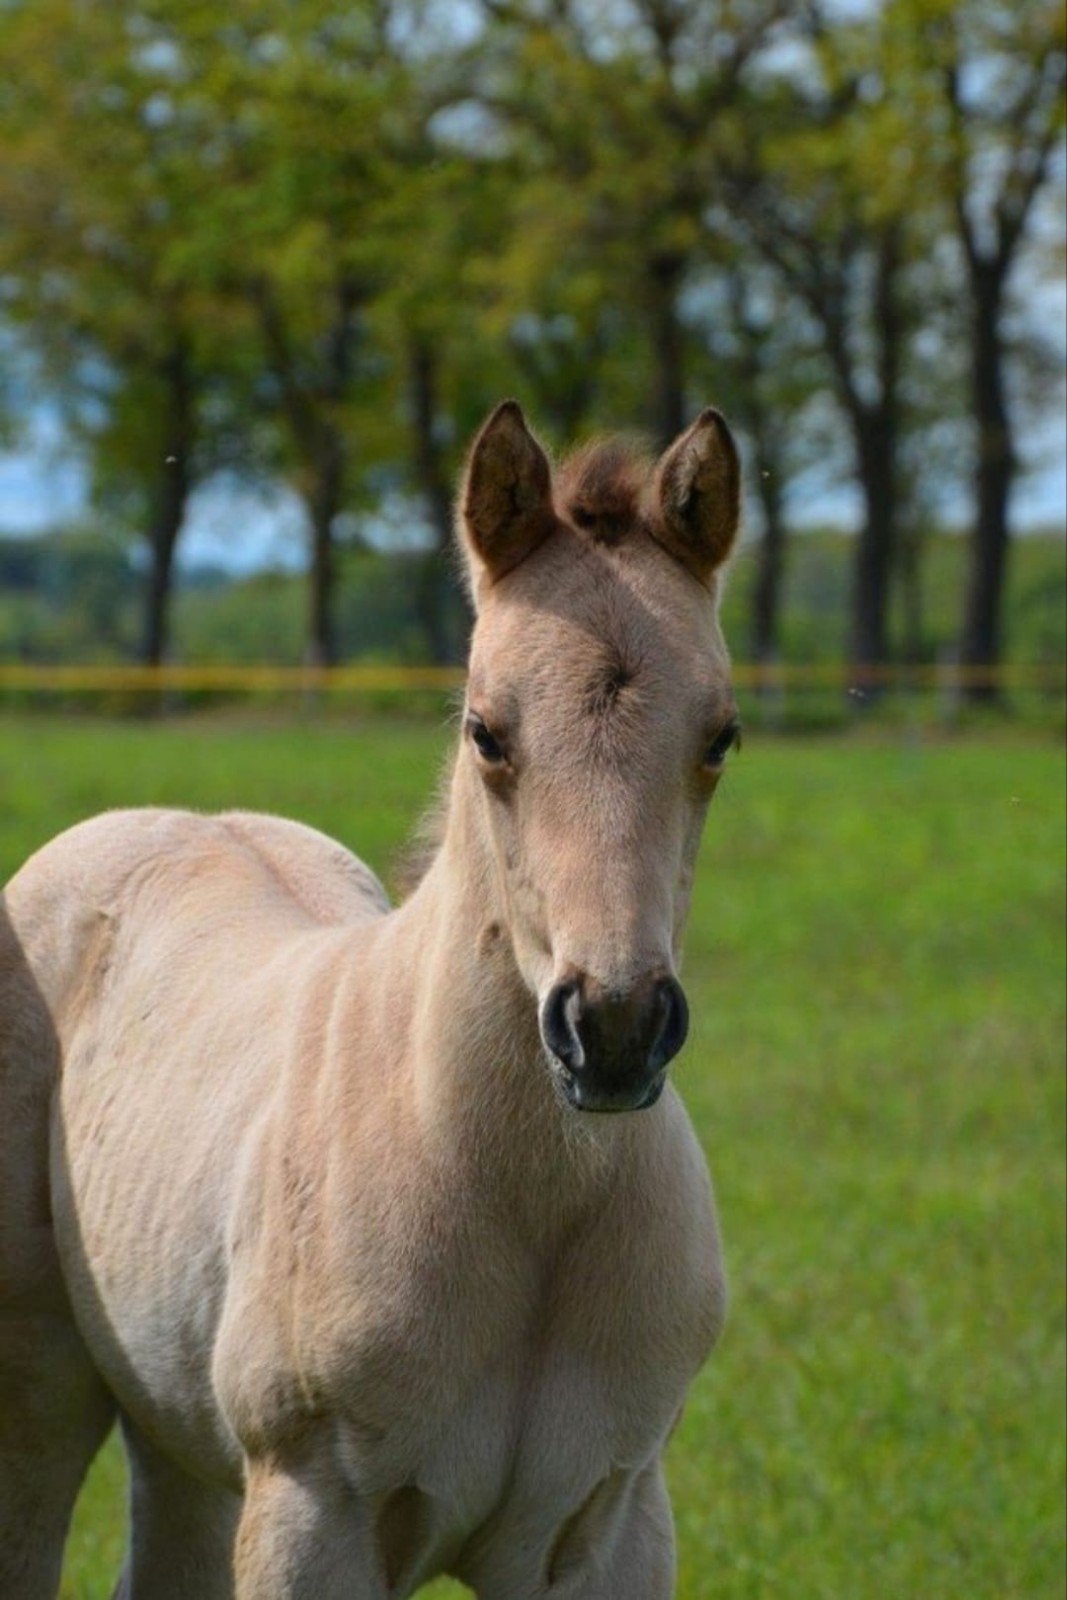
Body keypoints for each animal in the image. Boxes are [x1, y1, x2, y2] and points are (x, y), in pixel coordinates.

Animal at [0, 400, 742, 1599]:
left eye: (720, 734)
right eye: (484, 731)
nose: (613, 1030)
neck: (518, 1203)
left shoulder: (613, 1517)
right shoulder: (313, 1514)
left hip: (174, 1430)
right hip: (37, 1392)